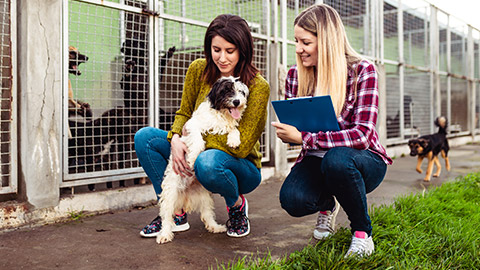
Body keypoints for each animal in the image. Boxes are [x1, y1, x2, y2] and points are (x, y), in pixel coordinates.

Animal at [157, 76, 249, 245]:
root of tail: (185, 193)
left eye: (241, 91)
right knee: (166, 216)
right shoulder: (192, 125)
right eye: (227, 90)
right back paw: (165, 234)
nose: (237, 101)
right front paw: (193, 156)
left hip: (205, 196)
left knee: (207, 215)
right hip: (170, 193)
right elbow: (198, 139)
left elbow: (234, 129)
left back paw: (215, 227)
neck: (221, 114)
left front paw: (234, 140)